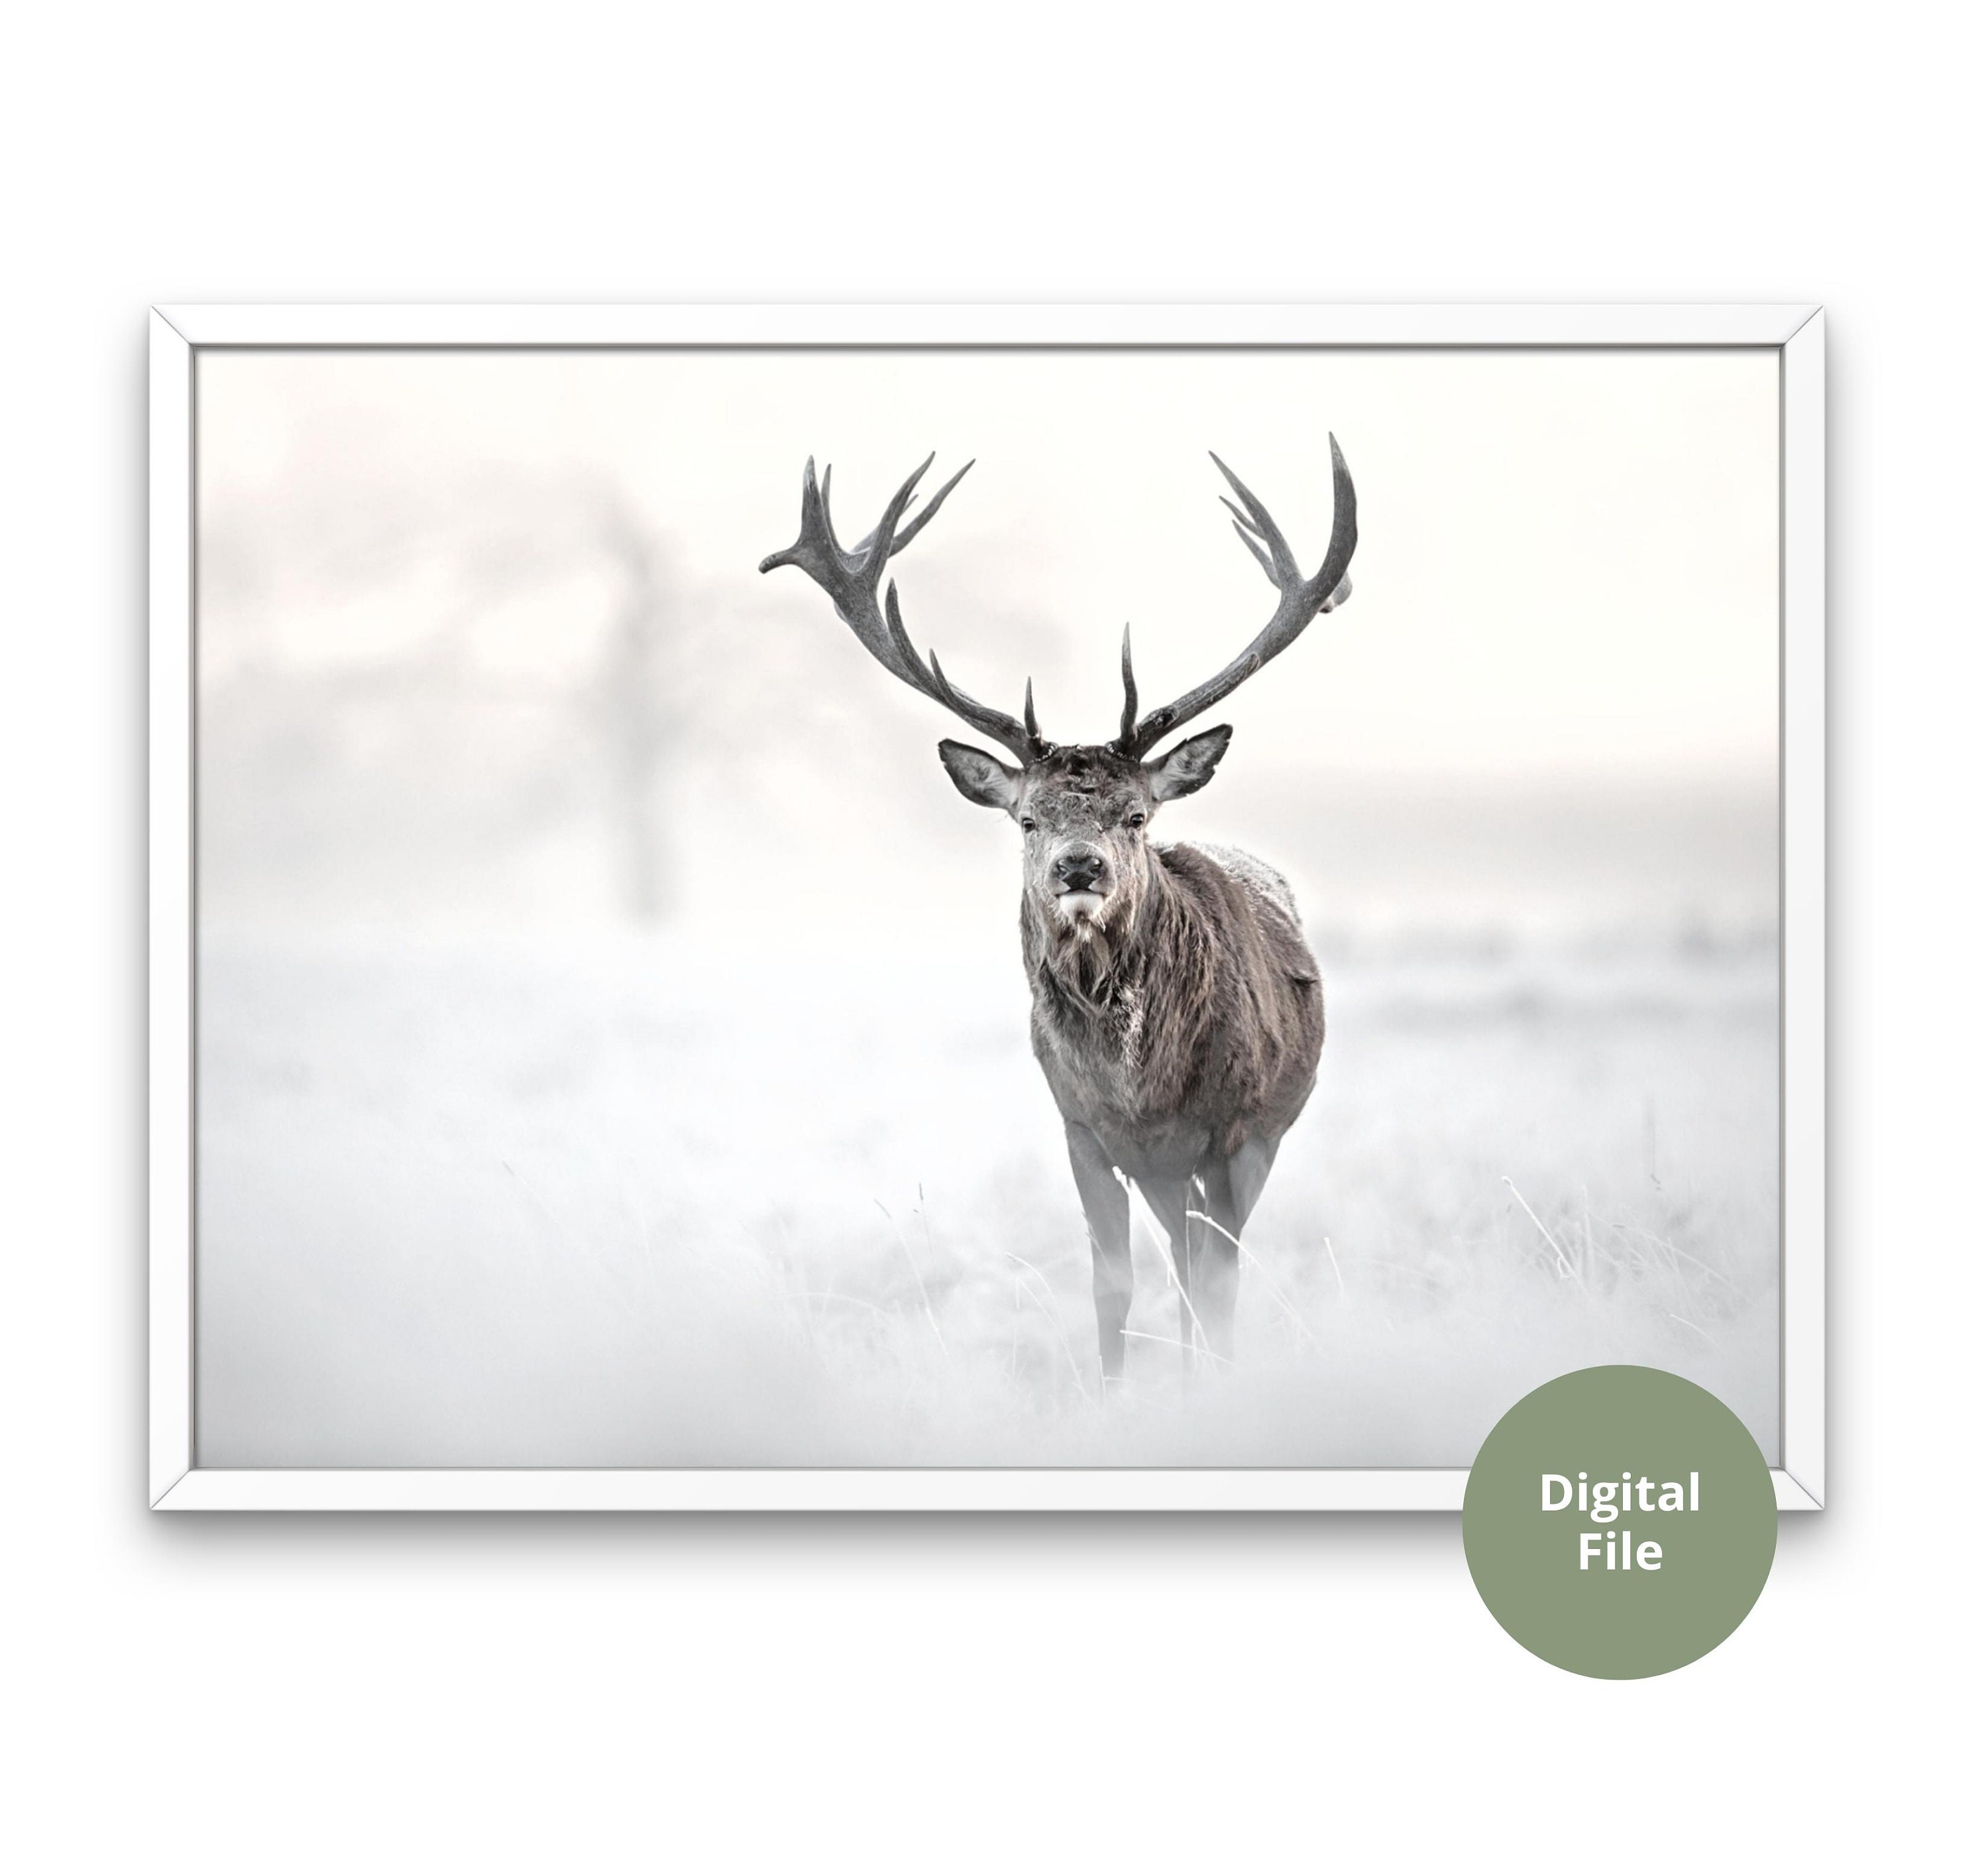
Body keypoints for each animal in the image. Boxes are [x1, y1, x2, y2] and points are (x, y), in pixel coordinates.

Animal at [759, 440, 1356, 1384]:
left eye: (1137, 815)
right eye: (1028, 818)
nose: (1080, 865)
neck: (1140, 1089)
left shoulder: (1234, 1131)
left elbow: (1218, 1287)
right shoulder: (1083, 1129)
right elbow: (1113, 1282)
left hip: (1259, 1135)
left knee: (1204, 1266)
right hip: (1164, 1172)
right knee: (1179, 1258)